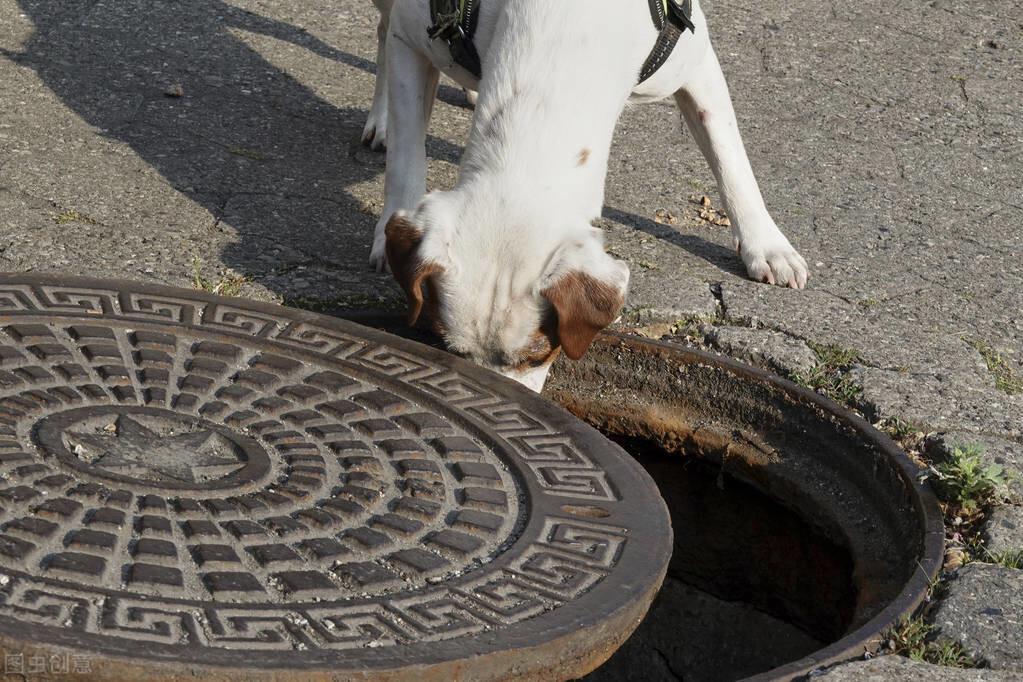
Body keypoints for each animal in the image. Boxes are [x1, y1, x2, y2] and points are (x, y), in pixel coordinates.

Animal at [364, 0, 802, 388]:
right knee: (383, 32)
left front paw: (766, 245)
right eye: (449, 347)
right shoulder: (409, 39)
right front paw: (386, 230)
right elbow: (406, 157)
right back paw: (381, 121)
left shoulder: (696, 64)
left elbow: (731, 158)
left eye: (537, 357)